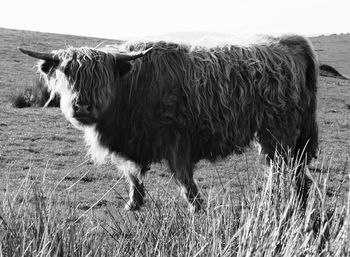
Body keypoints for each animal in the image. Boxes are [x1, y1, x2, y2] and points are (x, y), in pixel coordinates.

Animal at [19, 35, 320, 211]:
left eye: (101, 77)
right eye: (66, 73)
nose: (82, 106)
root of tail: (287, 42)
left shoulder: (176, 140)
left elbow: (184, 178)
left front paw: (196, 207)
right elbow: (132, 175)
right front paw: (133, 204)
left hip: (278, 134)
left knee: (281, 170)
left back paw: (276, 202)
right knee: (294, 172)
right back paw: (297, 202)